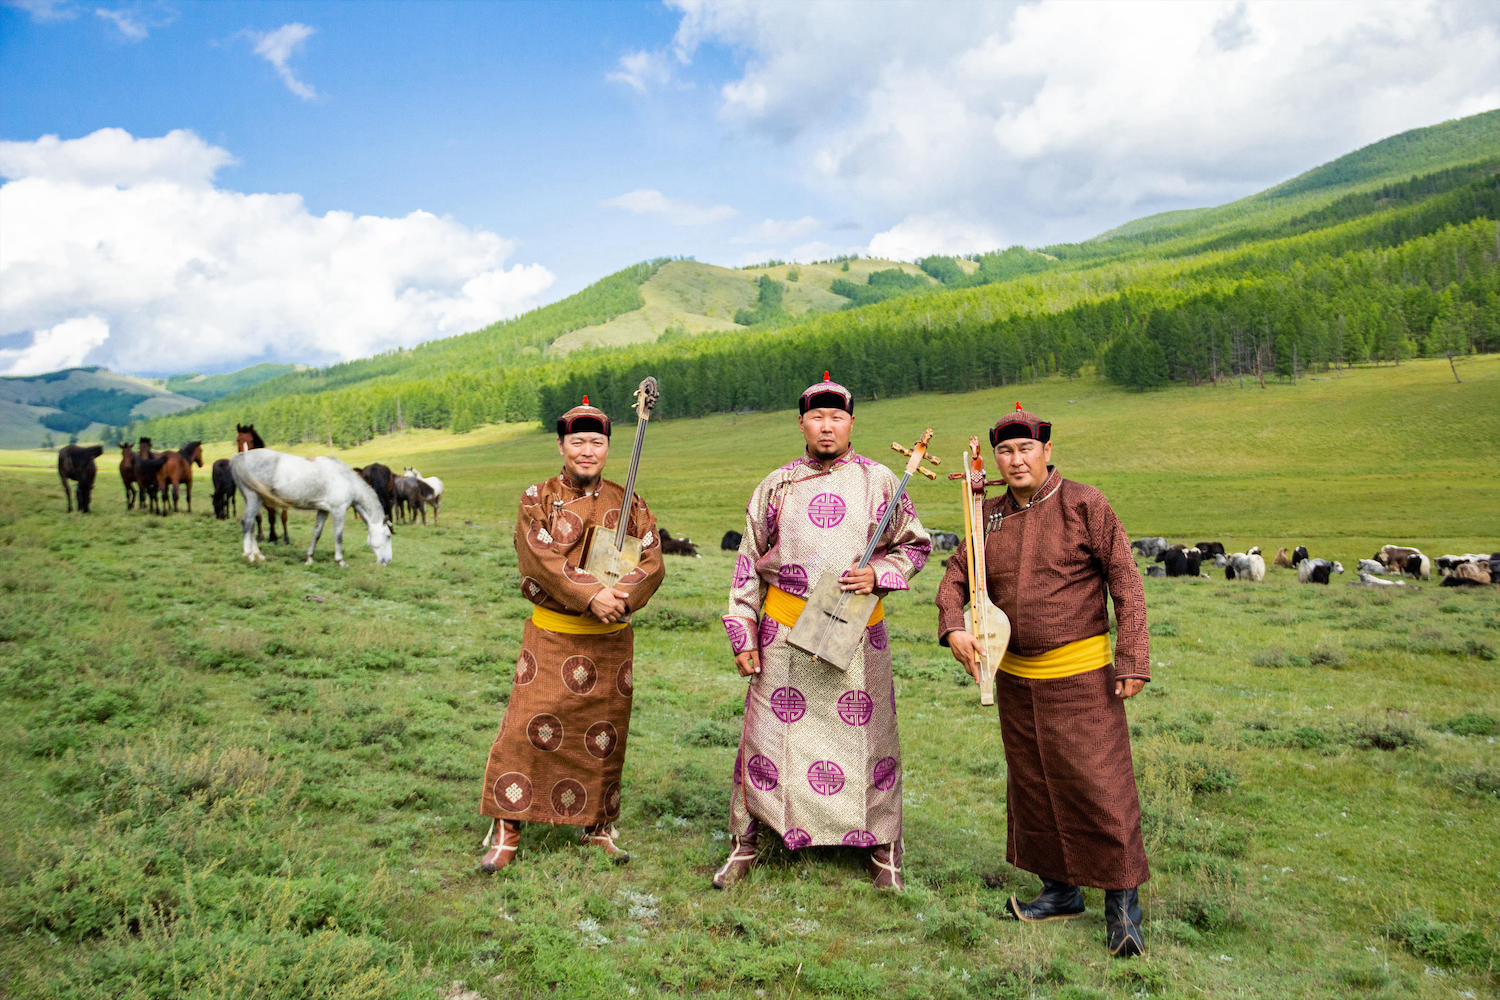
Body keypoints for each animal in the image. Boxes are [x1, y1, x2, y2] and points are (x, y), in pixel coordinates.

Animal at [229, 449, 390, 566]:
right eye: (388, 535)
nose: (387, 561)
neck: (346, 479)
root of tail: (240, 456)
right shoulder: (338, 510)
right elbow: (338, 536)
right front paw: (340, 561)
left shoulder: (323, 510)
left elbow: (316, 533)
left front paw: (309, 558)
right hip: (254, 498)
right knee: (247, 522)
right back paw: (249, 555)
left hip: (253, 500)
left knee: (251, 525)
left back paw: (258, 555)